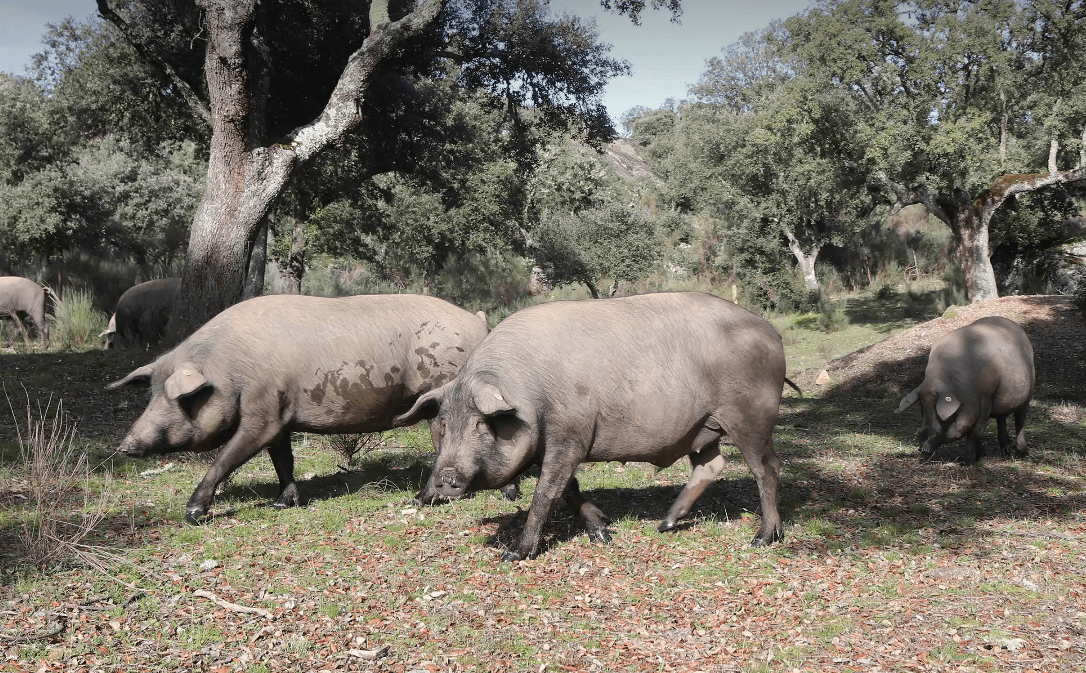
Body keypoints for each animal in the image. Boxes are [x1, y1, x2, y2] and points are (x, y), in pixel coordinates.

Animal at [107, 293, 490, 523]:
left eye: (181, 399)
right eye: (151, 394)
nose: (125, 446)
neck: (230, 369)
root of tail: (479, 323)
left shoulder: (261, 414)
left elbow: (226, 458)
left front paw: (192, 513)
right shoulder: (279, 417)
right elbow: (283, 461)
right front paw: (282, 503)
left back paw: (419, 500)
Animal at [395, 292, 799, 561]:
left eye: (481, 423)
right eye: (442, 424)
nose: (445, 479)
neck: (530, 396)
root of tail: (772, 333)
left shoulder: (569, 436)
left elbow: (546, 493)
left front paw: (514, 554)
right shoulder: (553, 445)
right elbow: (569, 489)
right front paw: (603, 532)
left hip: (751, 416)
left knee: (767, 468)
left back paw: (762, 539)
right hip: (702, 426)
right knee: (711, 465)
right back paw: (665, 525)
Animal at [896, 316, 1034, 464]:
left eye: (939, 413)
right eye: (922, 408)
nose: (922, 448)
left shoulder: (986, 400)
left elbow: (975, 432)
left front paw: (968, 462)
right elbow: (971, 432)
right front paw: (979, 456)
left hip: (1028, 392)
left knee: (1020, 421)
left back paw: (1022, 453)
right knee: (1001, 420)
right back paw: (1006, 452)